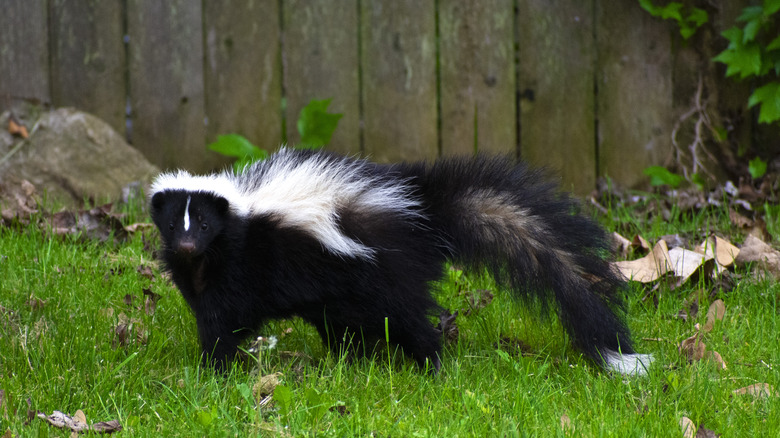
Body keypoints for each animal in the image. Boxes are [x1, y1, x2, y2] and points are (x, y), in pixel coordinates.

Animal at [151, 147, 652, 372]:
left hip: (385, 277)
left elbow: (225, 321)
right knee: (349, 325)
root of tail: (425, 214)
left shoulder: (241, 267)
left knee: (410, 320)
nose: (188, 246)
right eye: (175, 224)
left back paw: (432, 366)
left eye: (204, 225)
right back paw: (353, 361)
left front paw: (214, 368)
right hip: (349, 294)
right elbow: (211, 315)